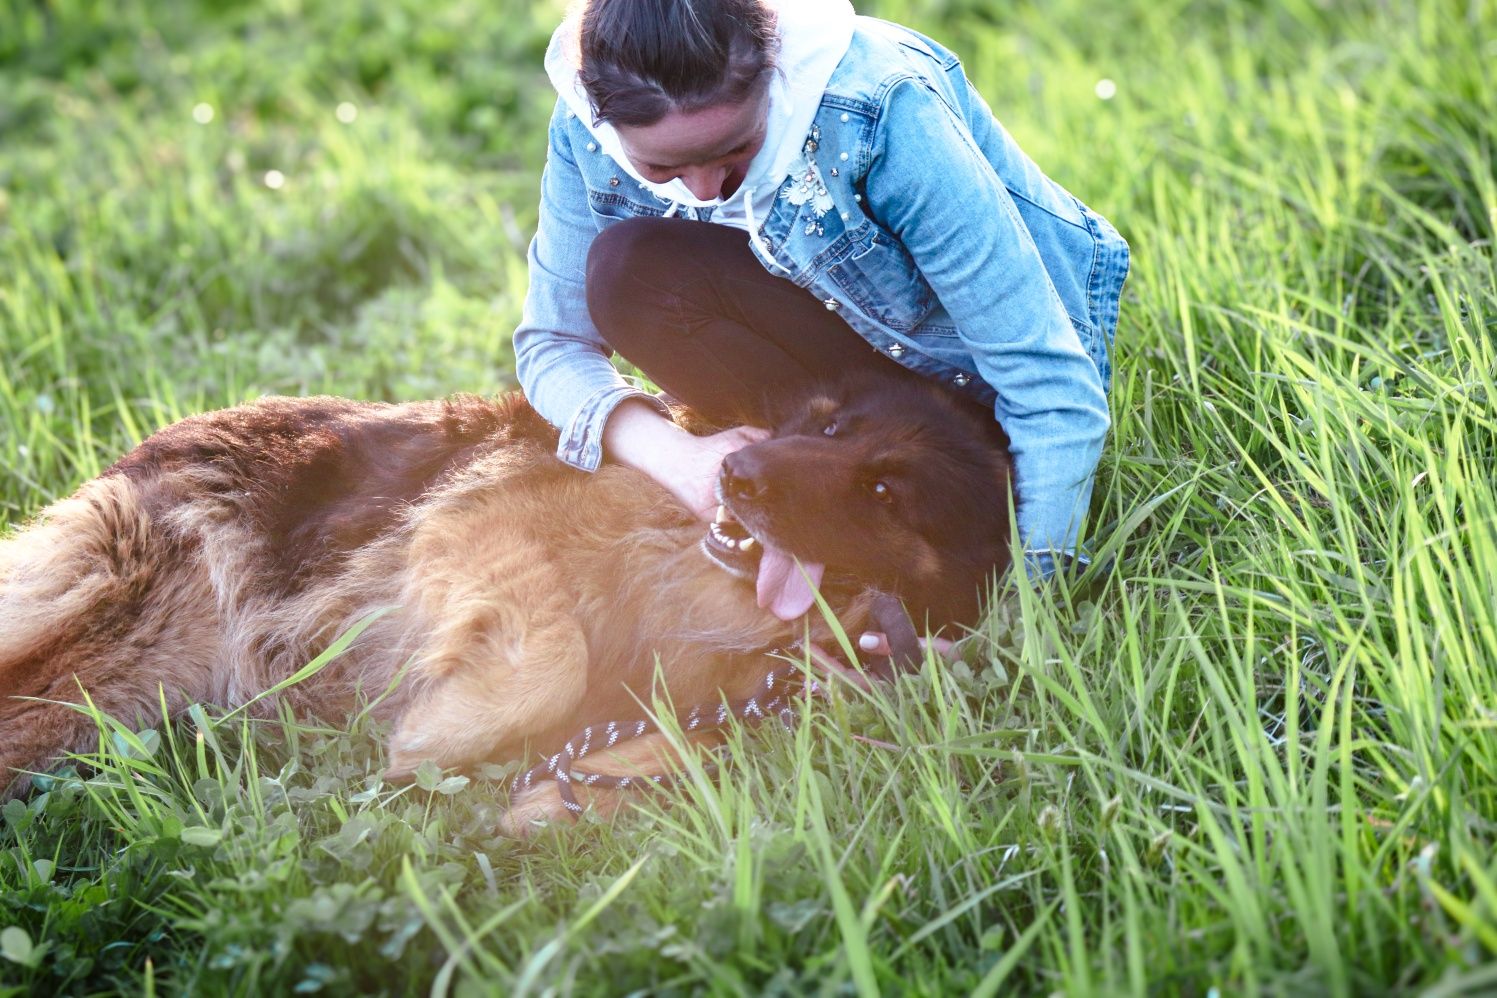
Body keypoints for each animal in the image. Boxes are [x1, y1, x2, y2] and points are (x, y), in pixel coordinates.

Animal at [0, 374, 1011, 825]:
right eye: (827, 427)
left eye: (884, 492)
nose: (738, 474)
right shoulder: (465, 529)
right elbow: (551, 655)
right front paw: (428, 740)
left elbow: (664, 742)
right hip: (109, 621)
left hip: (113, 701)